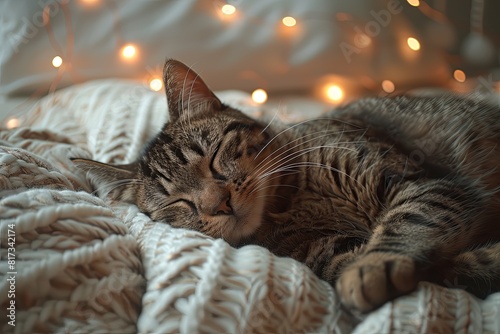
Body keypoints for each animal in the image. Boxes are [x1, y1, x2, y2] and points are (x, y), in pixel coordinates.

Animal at [73, 60, 500, 314]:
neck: (291, 200)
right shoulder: (322, 255)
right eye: (179, 203)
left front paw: (374, 266)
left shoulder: (420, 180)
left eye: (213, 157)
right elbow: (449, 263)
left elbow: (407, 221)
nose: (219, 204)